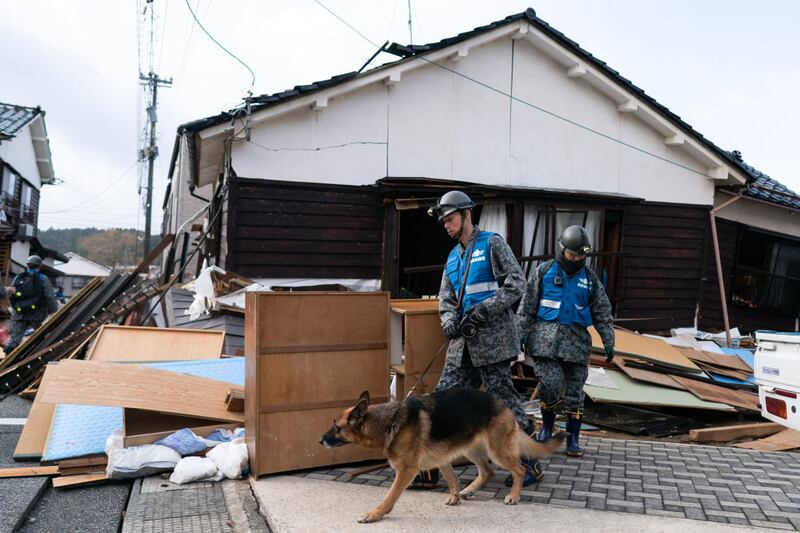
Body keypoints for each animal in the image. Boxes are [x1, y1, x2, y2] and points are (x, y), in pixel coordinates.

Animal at [318, 388, 564, 520]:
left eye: (337, 428)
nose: (319, 441)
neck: (388, 422)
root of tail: (504, 405)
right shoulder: (441, 459)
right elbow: (451, 478)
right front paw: (455, 496)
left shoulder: (406, 471)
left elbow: (390, 496)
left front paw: (375, 514)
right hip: (471, 449)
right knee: (487, 472)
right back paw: (469, 491)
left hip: (496, 451)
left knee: (519, 469)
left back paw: (514, 496)